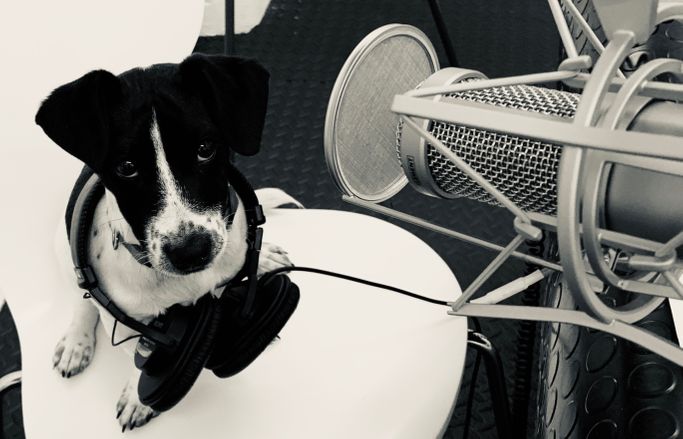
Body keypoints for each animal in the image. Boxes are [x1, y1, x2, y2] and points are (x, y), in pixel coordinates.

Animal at [34, 53, 296, 432]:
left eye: (205, 149)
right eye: (126, 167)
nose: (191, 252)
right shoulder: (130, 324)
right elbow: (141, 357)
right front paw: (136, 397)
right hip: (63, 249)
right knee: (83, 297)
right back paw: (76, 342)